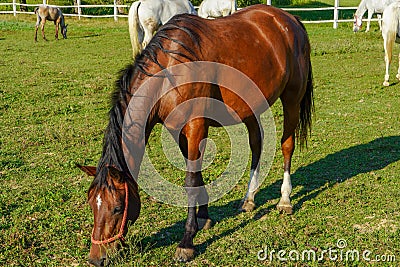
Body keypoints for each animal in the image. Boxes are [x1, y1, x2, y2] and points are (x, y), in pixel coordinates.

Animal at [78, 3, 314, 266]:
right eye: (92, 204)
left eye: (118, 208)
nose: (97, 257)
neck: (169, 72)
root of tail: (289, 19)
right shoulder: (178, 131)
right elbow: (197, 174)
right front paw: (204, 216)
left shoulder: (195, 126)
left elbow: (190, 181)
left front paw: (187, 241)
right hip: (251, 105)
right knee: (257, 145)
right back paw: (249, 198)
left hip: (292, 99)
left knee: (286, 145)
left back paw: (285, 200)